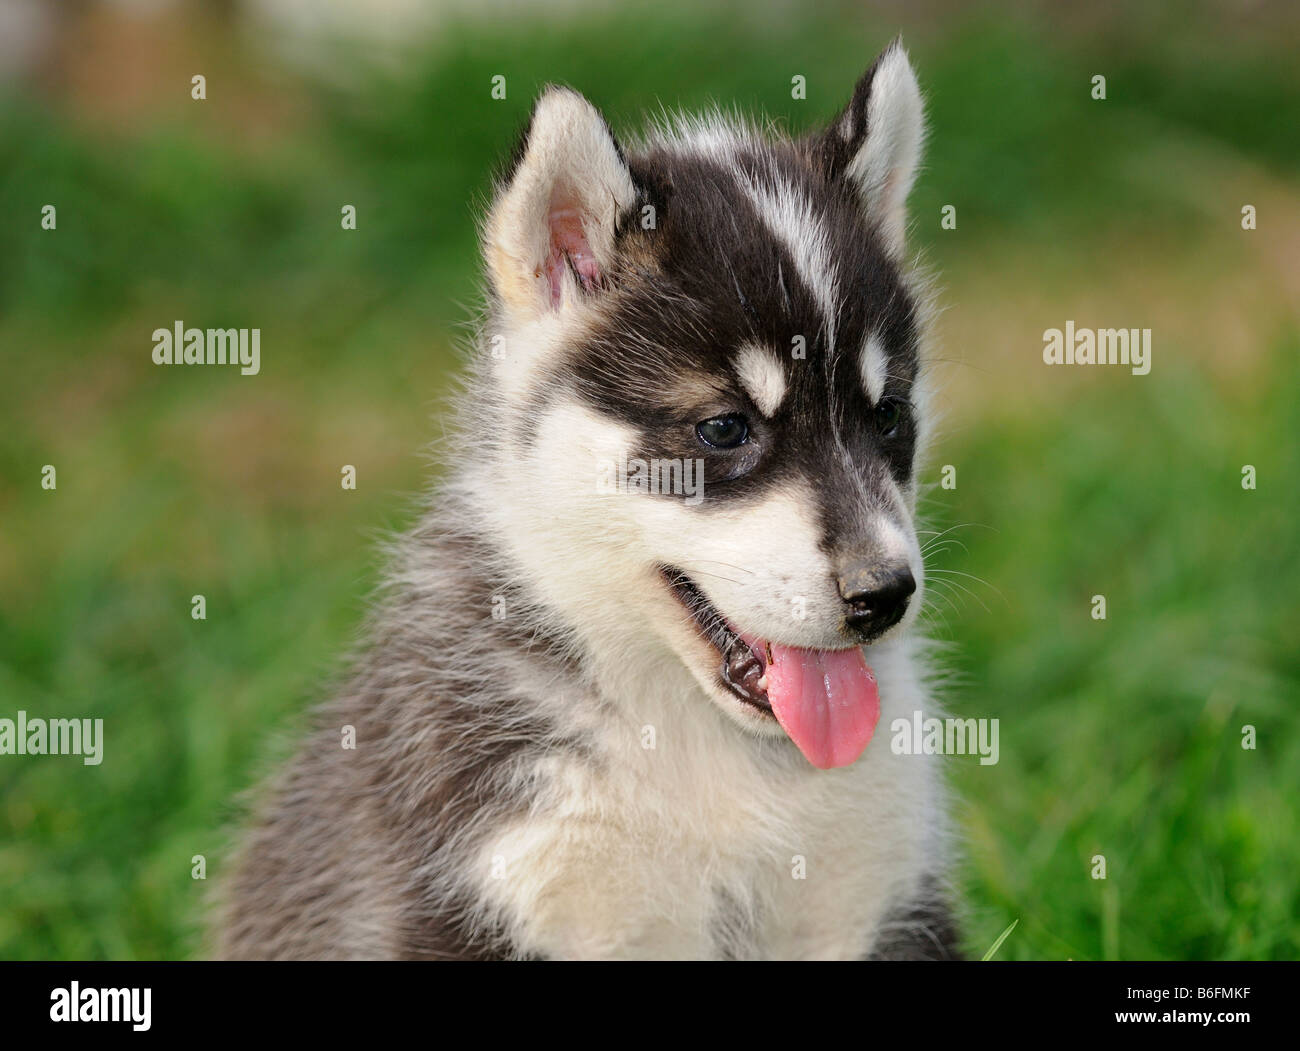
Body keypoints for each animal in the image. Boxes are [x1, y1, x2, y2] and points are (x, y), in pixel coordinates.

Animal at [218, 39, 961, 962]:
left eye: (887, 414)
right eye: (724, 428)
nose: (884, 594)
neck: (702, 747)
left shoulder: (880, 891)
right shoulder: (502, 877)